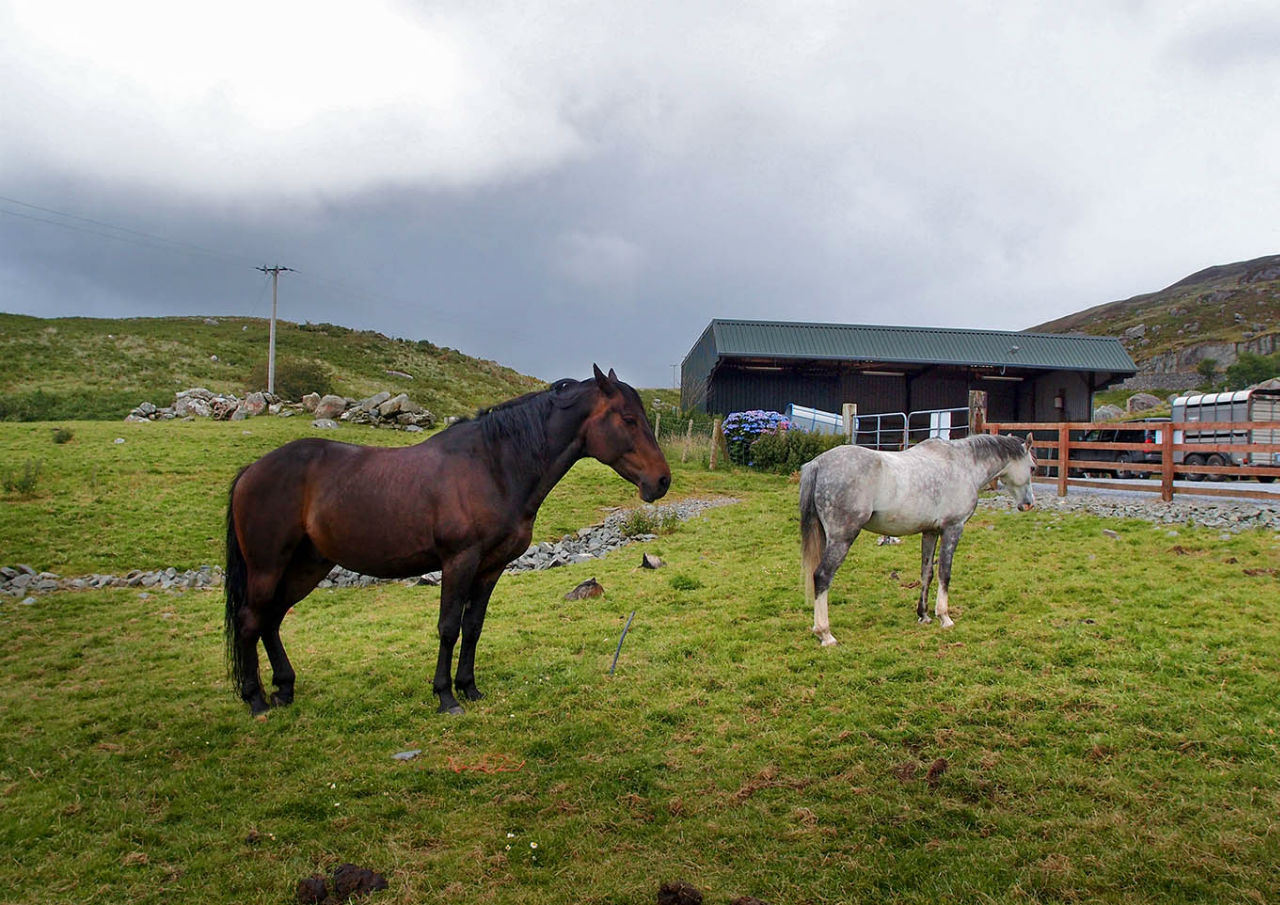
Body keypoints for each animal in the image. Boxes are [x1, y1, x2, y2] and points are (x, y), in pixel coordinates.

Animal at [225, 366, 675, 716]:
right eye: (628, 419)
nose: (661, 480)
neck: (492, 466)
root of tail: (251, 470)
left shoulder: (491, 567)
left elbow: (472, 627)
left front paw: (469, 688)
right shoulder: (459, 561)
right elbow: (448, 627)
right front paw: (446, 697)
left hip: (306, 566)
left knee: (271, 619)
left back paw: (284, 689)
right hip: (268, 566)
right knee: (250, 620)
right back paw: (256, 701)